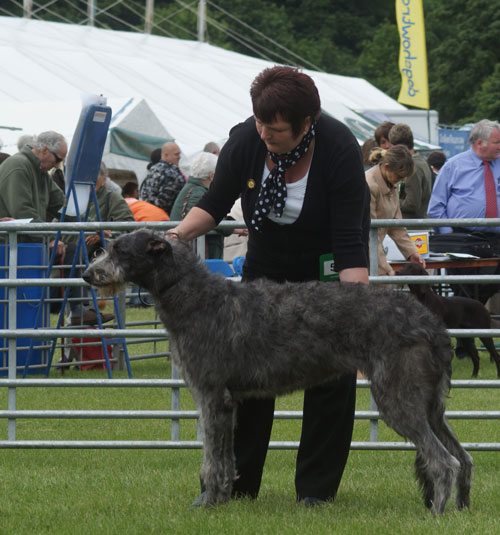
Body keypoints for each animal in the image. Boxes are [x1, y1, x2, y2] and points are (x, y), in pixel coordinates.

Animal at [82, 229, 472, 516]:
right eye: (109, 247)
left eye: (119, 250)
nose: (88, 274)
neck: (196, 297)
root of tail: (431, 324)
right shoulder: (228, 402)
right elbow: (226, 457)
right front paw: (223, 498)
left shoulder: (211, 396)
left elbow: (211, 459)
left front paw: (207, 503)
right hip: (430, 403)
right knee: (463, 455)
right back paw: (462, 508)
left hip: (397, 397)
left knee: (444, 461)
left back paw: (437, 512)